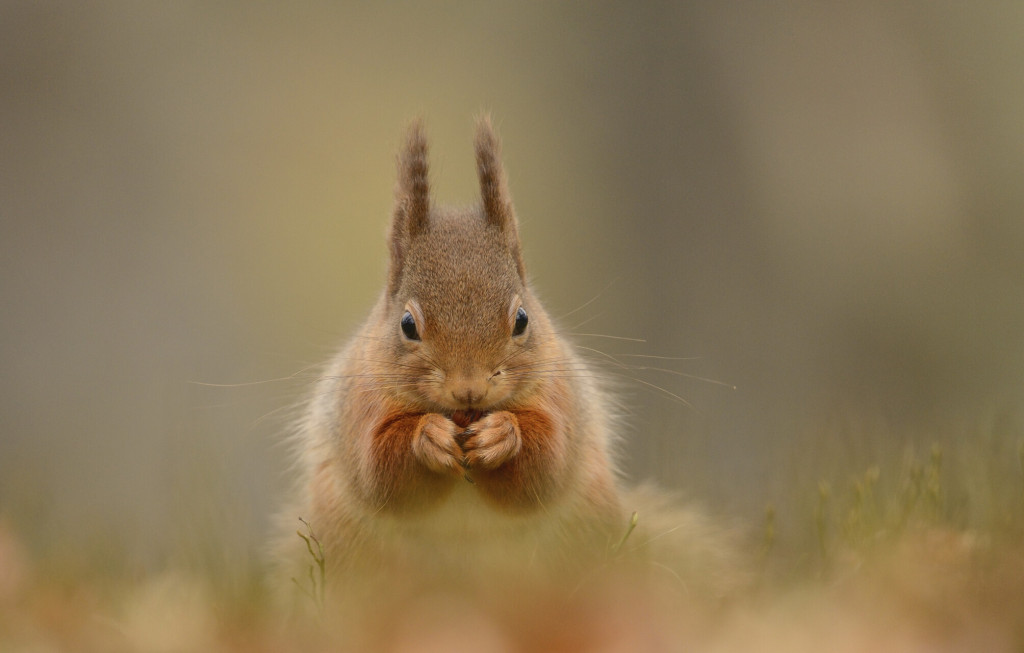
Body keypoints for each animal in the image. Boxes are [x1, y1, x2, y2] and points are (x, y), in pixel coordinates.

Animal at [275, 117, 745, 619]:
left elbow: (546, 465)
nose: (469, 390)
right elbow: (379, 471)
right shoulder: (358, 406)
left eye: (522, 319)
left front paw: (503, 435)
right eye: (407, 324)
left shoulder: (560, 397)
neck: (464, 416)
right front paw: (428, 436)